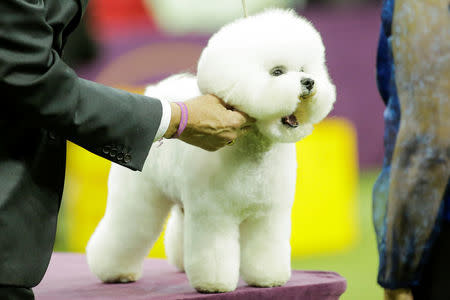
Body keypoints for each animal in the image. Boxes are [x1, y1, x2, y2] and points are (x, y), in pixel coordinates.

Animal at [86, 8, 336, 292]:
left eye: (304, 69)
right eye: (277, 72)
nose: (309, 82)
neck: (253, 152)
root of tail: (157, 90)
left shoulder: (267, 215)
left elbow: (265, 249)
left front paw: (267, 278)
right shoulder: (214, 214)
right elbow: (215, 253)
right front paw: (214, 284)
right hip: (138, 198)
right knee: (126, 231)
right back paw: (115, 272)